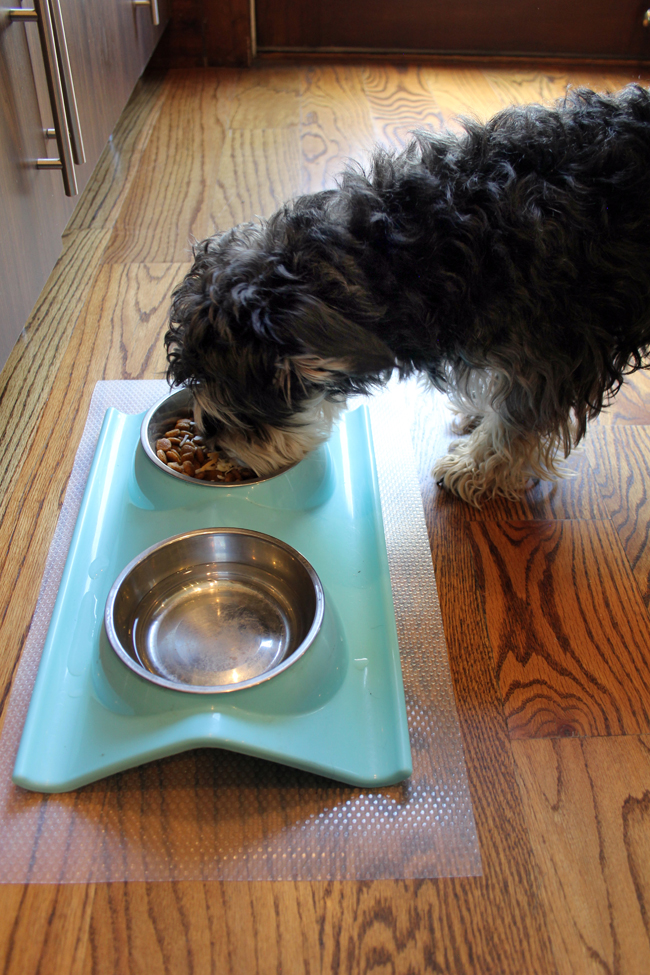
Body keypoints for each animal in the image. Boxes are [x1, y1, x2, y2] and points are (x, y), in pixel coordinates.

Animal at [163, 86, 650, 508]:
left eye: (241, 389)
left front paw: (476, 469)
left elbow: (519, 422)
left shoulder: (556, 354)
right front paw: (480, 415)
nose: (208, 435)